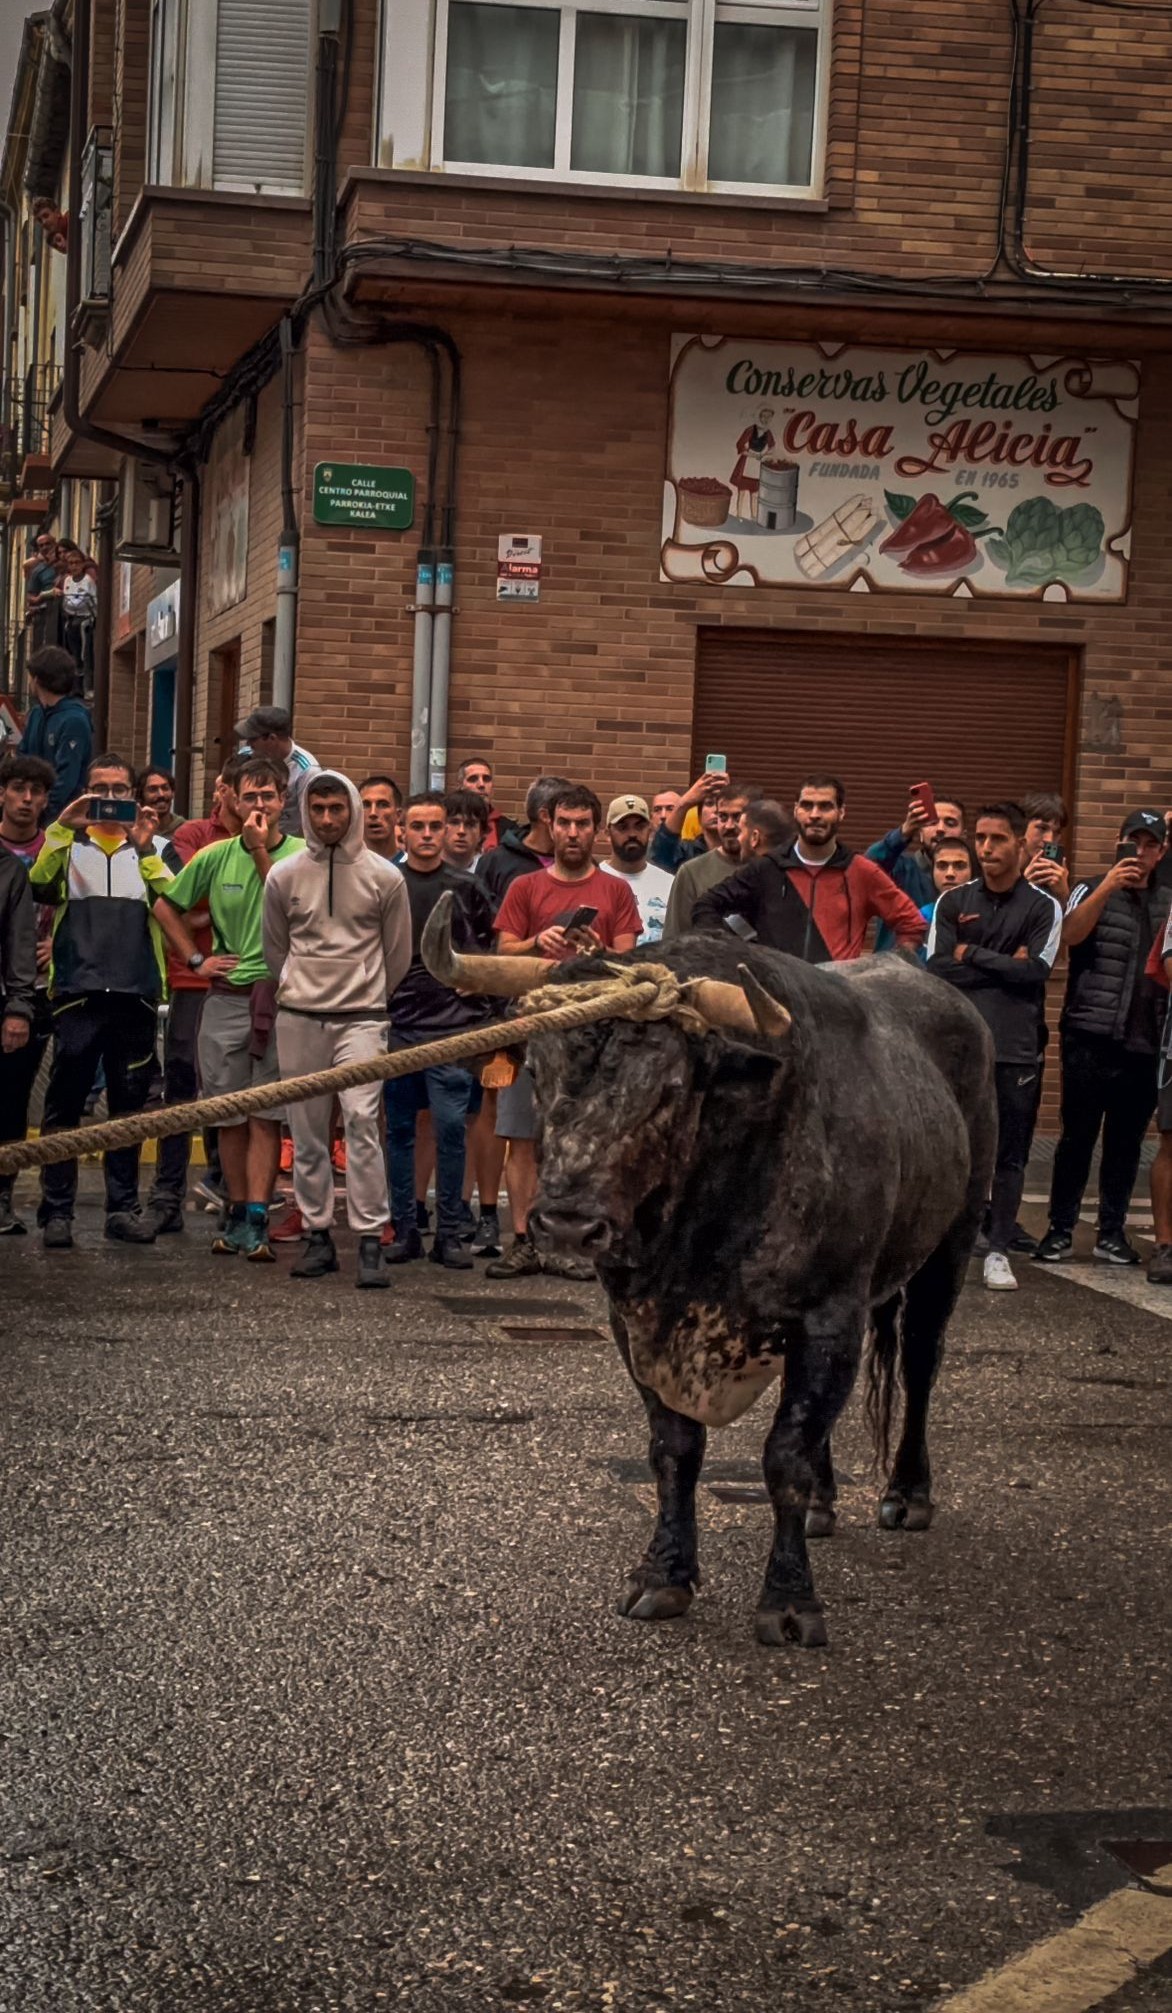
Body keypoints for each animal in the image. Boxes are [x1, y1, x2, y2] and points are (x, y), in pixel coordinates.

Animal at [426, 905, 998, 1642]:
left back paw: (907, 1493)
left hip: (949, 1245)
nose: (568, 1225)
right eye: (541, 1071)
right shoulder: (637, 1322)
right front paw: (664, 1575)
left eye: (670, 1087)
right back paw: (824, 1504)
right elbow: (676, 1447)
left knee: (921, 1361)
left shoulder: (829, 1319)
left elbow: (784, 1453)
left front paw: (790, 1600)